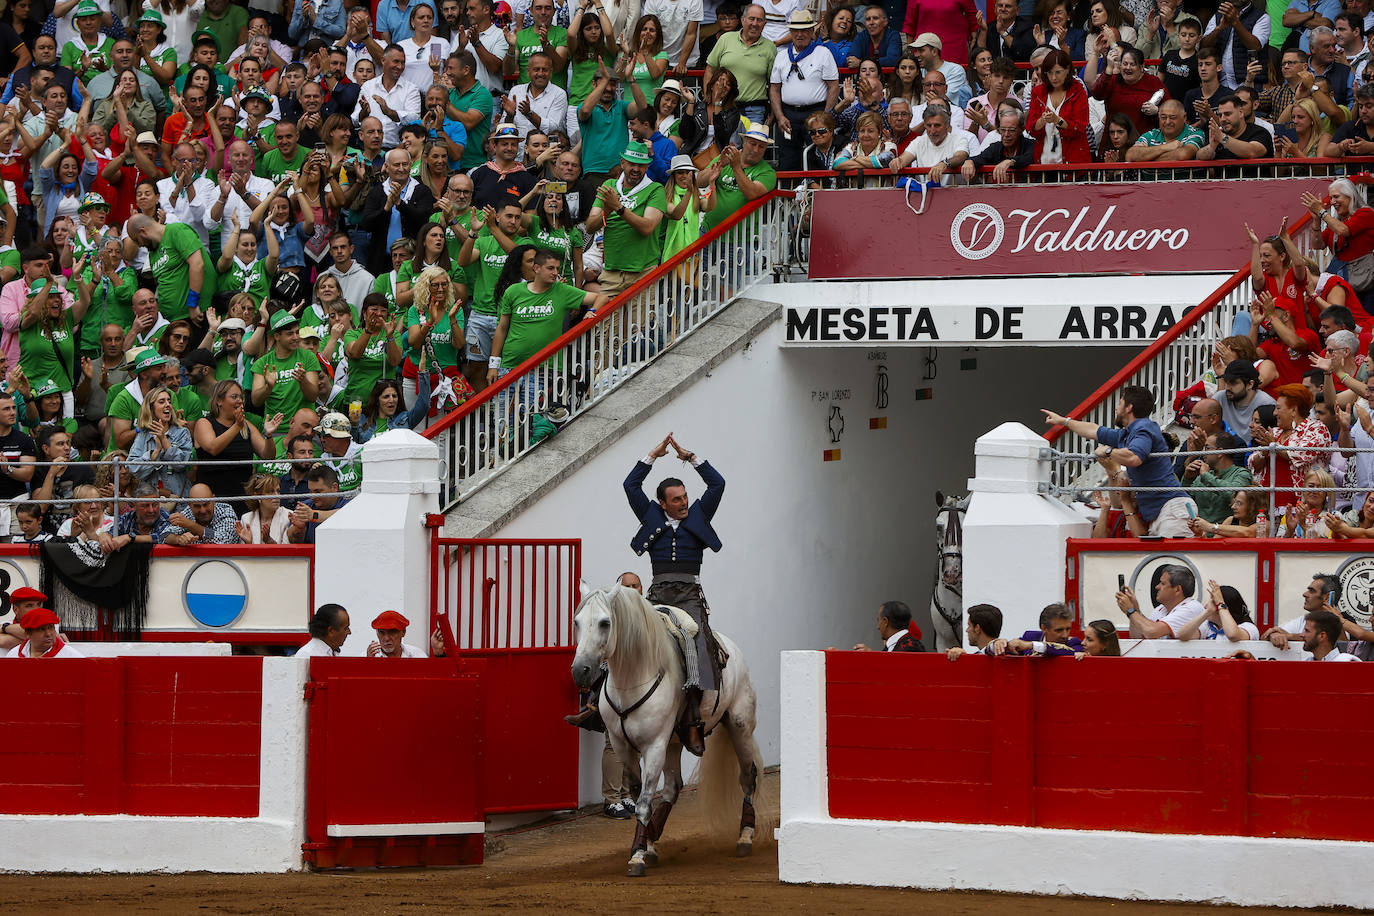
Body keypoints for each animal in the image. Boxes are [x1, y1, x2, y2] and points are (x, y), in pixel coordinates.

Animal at [566, 585, 763, 878]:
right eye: (577, 622)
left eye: (605, 623)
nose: (581, 670)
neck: (631, 678)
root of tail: (732, 649)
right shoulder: (623, 746)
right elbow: (638, 793)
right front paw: (646, 845)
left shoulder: (654, 746)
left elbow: (644, 801)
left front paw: (637, 856)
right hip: (674, 741)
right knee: (672, 787)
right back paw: (655, 836)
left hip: (739, 725)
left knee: (748, 775)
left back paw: (745, 837)